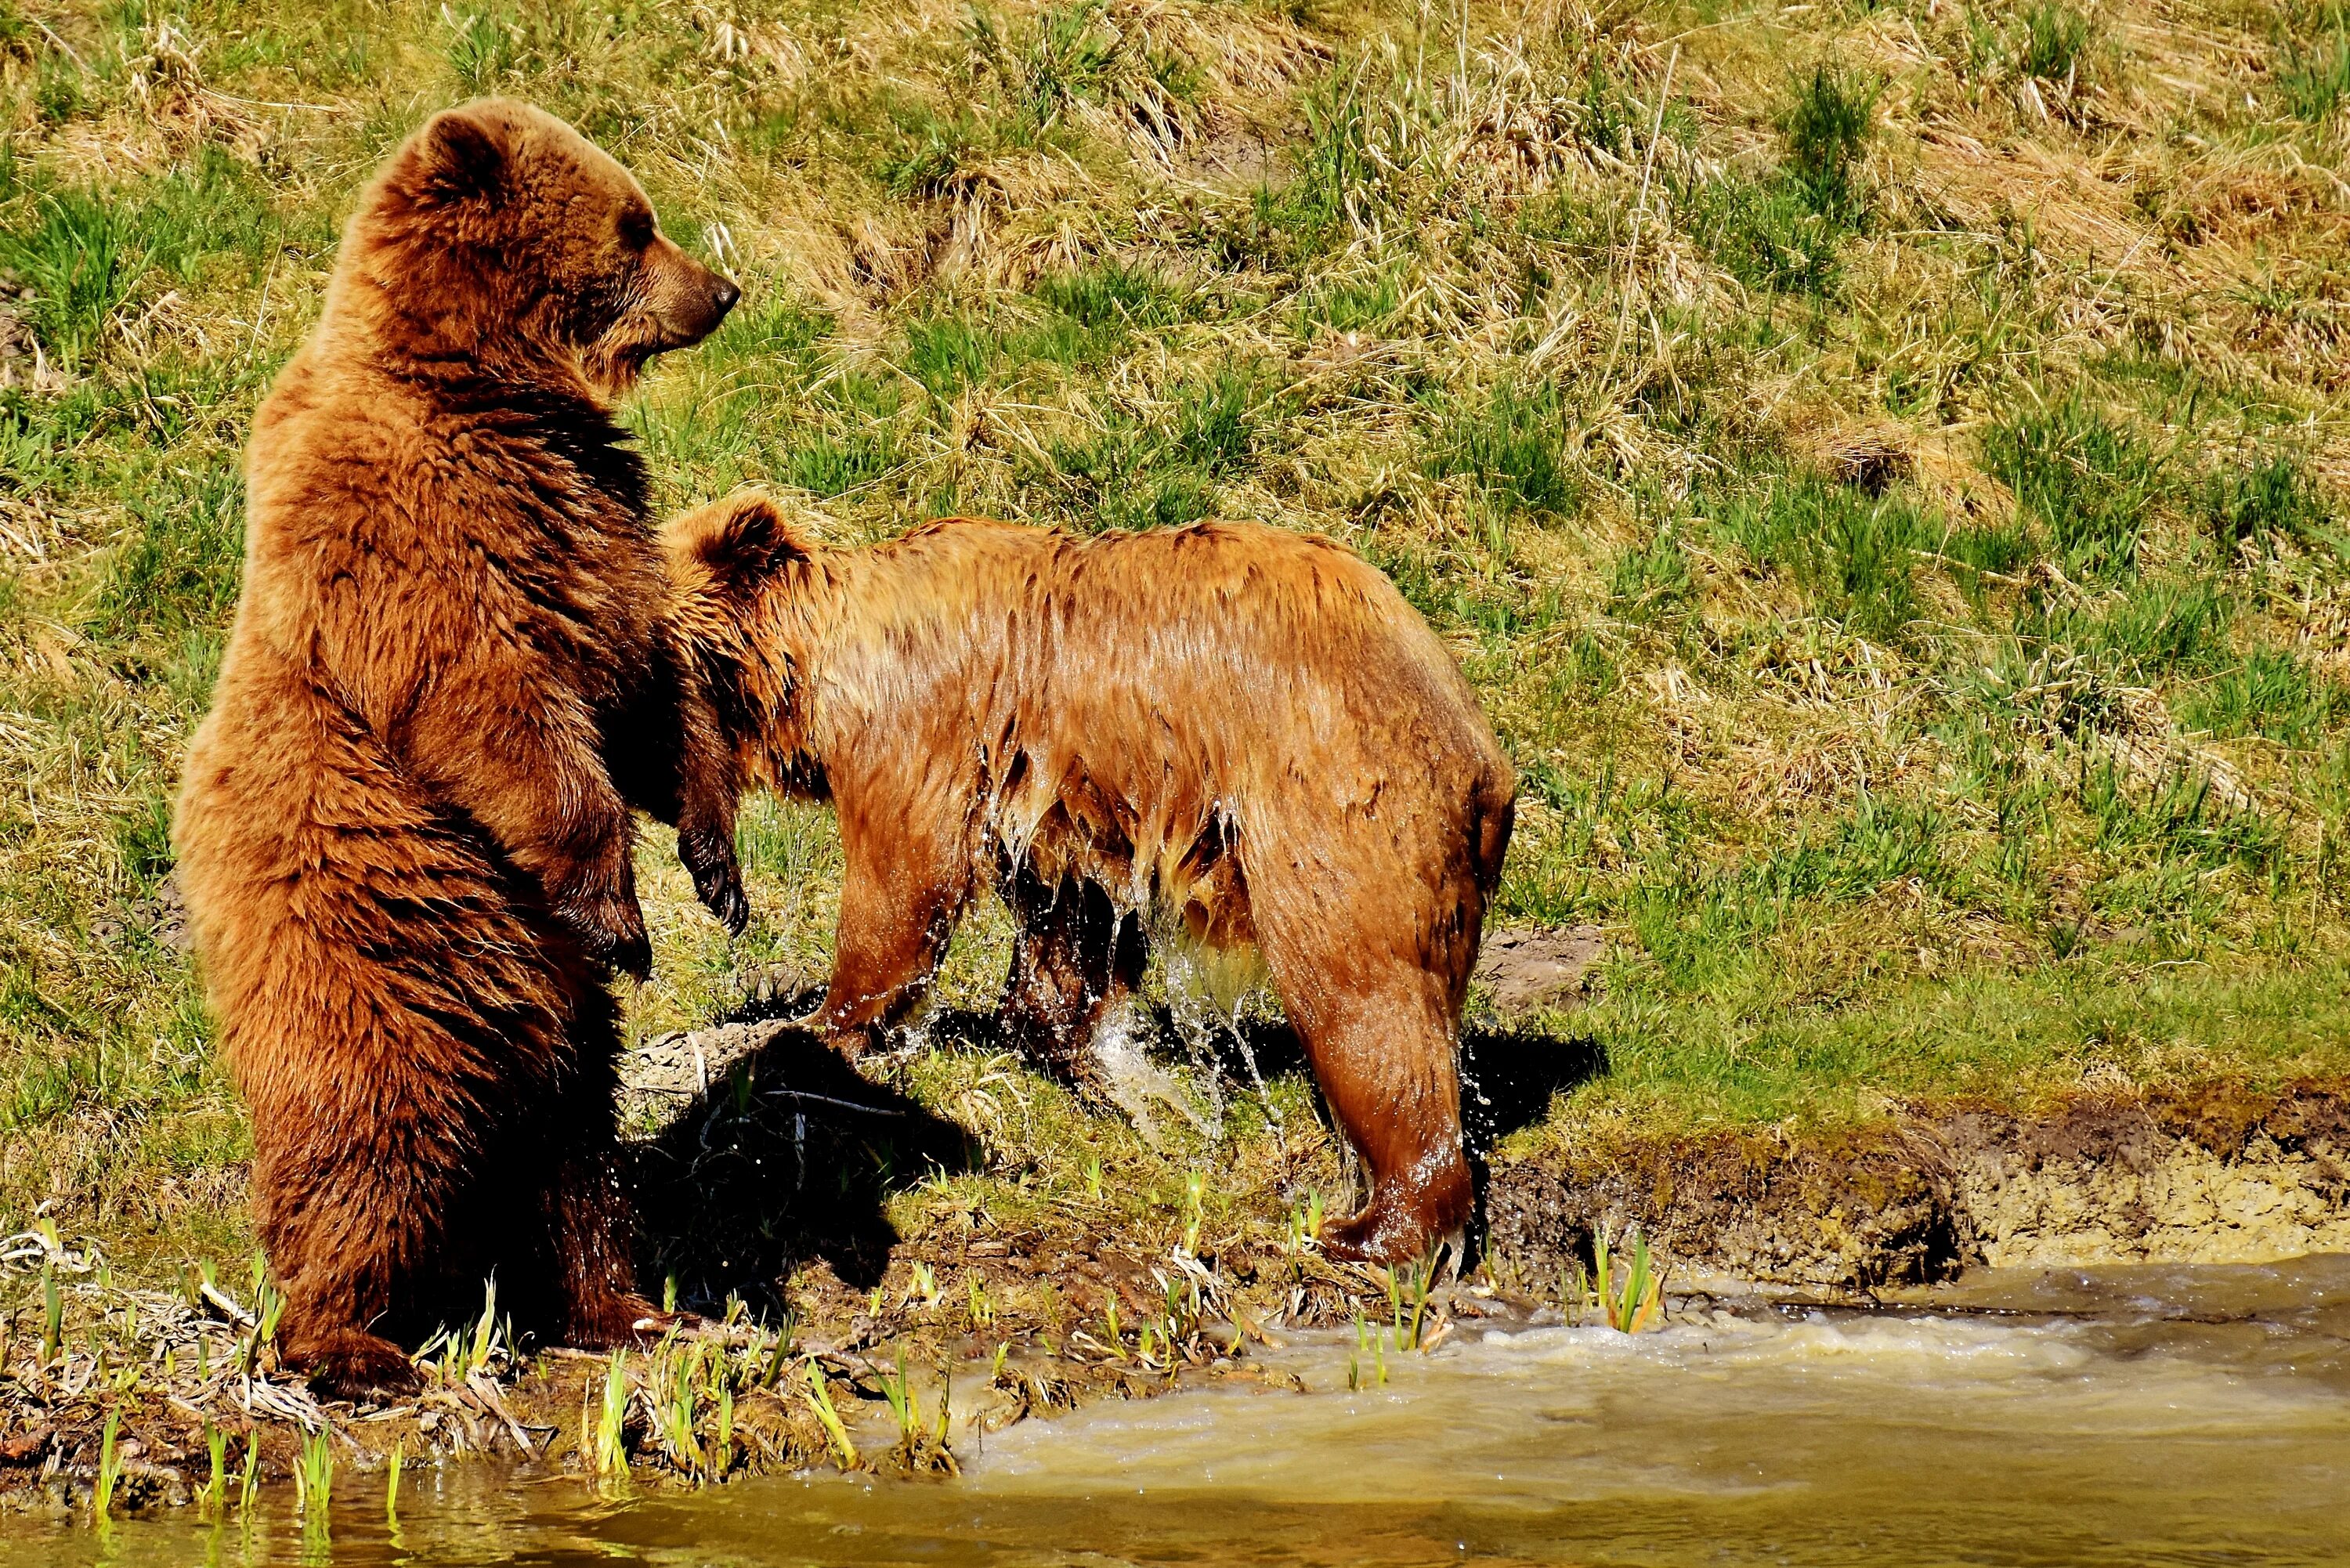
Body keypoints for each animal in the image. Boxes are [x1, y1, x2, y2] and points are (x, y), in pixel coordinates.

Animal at [174, 101, 743, 1400]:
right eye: (635, 226)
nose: (724, 287)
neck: (492, 388)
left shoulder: (589, 523)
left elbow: (647, 687)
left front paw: (715, 862)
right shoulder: (415, 526)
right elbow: (496, 706)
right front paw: (617, 912)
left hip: (552, 1019)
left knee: (575, 1152)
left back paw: (628, 1306)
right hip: (377, 965)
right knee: (367, 1142)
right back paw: (350, 1342)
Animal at [667, 496, 1504, 1269]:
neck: (814, 670)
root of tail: (1482, 751)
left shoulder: (922, 724)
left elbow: (904, 878)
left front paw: (821, 1023)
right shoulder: (1057, 796)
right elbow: (1070, 926)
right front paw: (1097, 1058)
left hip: (1337, 795)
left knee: (1364, 995)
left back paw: (1371, 1231)